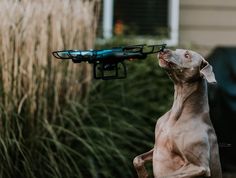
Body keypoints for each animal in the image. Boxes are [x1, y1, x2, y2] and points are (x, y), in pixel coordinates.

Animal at [134, 48, 222, 178]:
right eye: (177, 50)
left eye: (187, 55)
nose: (163, 50)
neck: (176, 114)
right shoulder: (155, 148)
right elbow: (136, 159)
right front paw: (143, 174)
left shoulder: (200, 167)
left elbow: (167, 175)